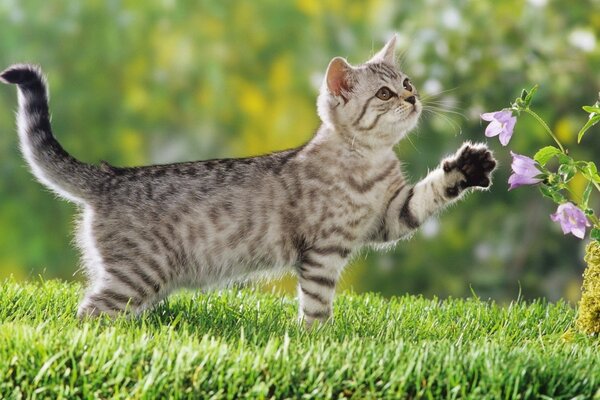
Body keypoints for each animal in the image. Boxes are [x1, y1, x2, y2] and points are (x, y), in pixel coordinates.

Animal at [1, 36, 496, 326]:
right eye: (385, 93)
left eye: (407, 82)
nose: (413, 98)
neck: (368, 163)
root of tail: (109, 177)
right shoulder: (323, 250)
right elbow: (317, 305)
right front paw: (318, 339)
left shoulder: (390, 216)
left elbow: (429, 194)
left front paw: (467, 166)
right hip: (138, 274)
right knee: (87, 314)